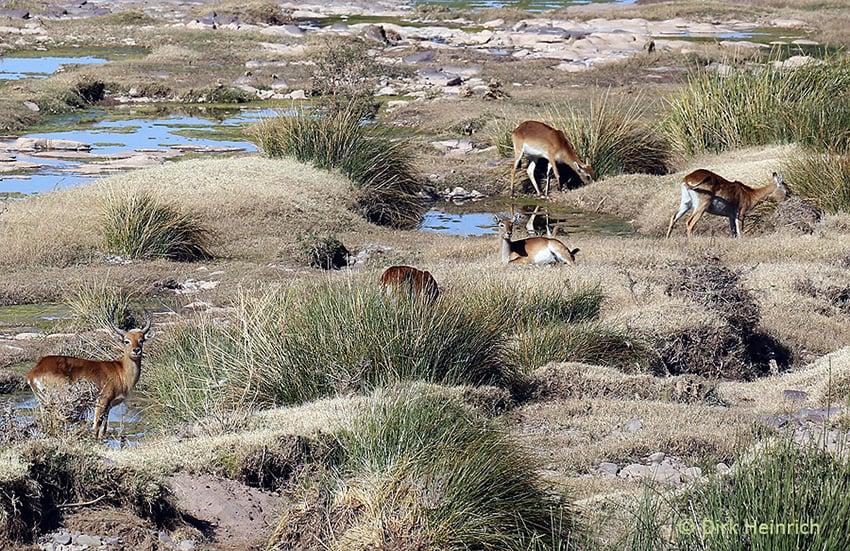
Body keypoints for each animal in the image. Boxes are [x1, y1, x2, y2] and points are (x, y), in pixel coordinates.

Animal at [27, 308, 154, 438]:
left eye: (141, 339)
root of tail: (34, 371)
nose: (136, 350)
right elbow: (96, 427)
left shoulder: (109, 406)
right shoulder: (102, 401)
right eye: (126, 341)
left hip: (43, 403)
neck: (120, 371)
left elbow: (103, 429)